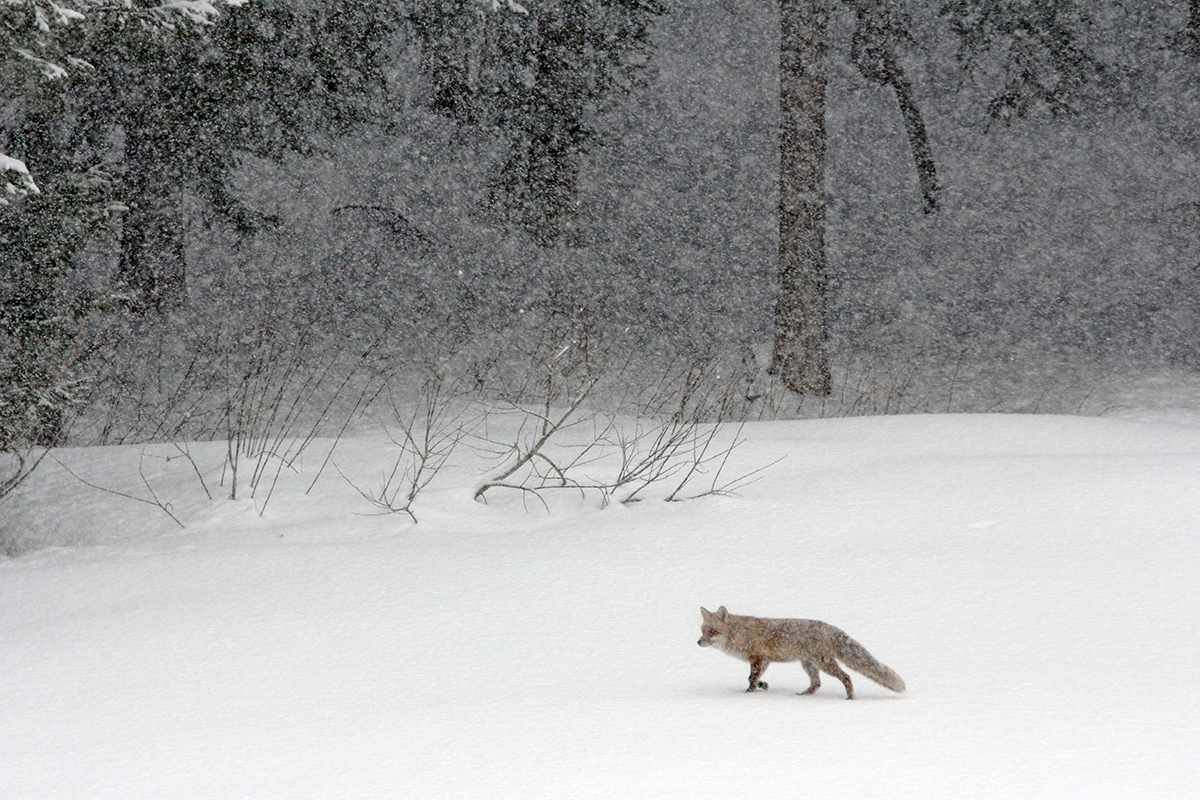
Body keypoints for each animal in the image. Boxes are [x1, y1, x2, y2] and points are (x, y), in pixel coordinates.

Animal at [700, 606, 902, 700]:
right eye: (703, 630)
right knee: (817, 684)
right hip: (808, 664)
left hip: (823, 663)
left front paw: (749, 693)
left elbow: (751, 678)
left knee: (846, 677)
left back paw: (850, 698)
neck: (738, 634)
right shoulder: (765, 660)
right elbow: (754, 678)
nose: (698, 642)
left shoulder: (757, 658)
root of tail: (829, 627)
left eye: (712, 631)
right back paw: (803, 696)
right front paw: (762, 686)